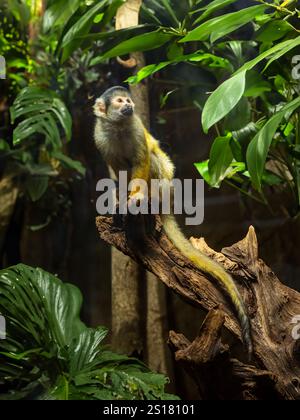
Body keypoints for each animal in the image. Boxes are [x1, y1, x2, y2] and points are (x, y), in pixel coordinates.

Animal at [94, 87, 253, 356]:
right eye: (119, 101)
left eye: (128, 100)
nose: (129, 105)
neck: (118, 127)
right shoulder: (100, 135)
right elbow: (115, 171)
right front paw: (118, 197)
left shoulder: (136, 127)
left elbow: (142, 160)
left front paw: (134, 197)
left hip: (165, 182)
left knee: (154, 159)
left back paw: (147, 200)